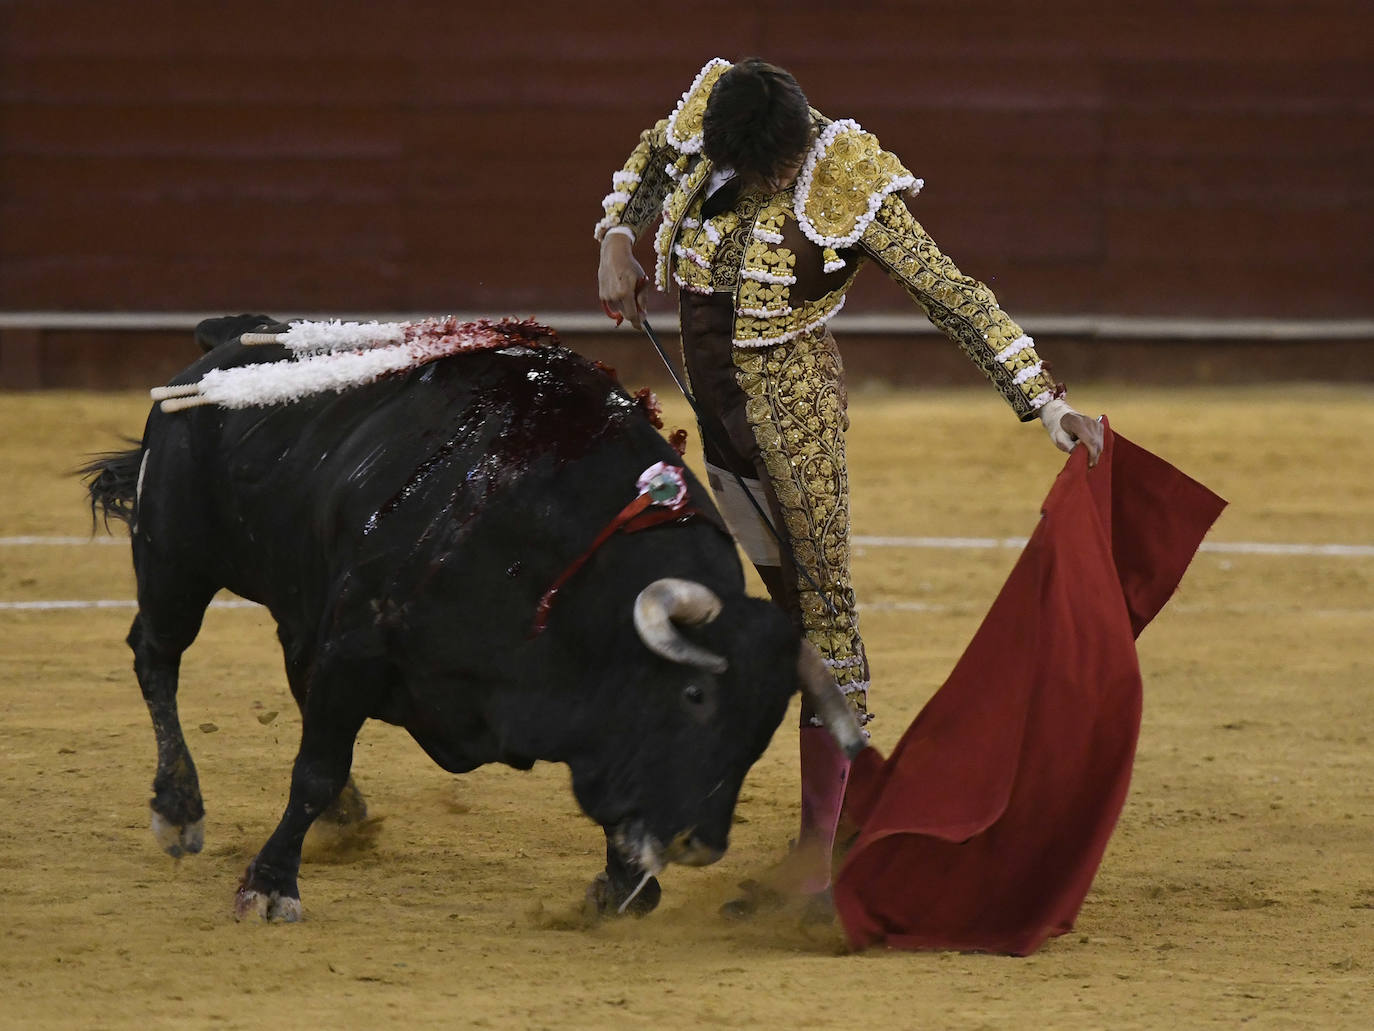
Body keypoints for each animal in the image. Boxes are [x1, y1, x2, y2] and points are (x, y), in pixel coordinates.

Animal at [83, 318, 857, 923]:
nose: (702, 842)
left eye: (766, 725)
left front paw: (623, 884)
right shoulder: (359, 641)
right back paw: (179, 810)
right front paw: (270, 887)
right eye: (695, 695)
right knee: (156, 655)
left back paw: (343, 819)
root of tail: (221, 342)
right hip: (175, 559)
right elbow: (317, 769)